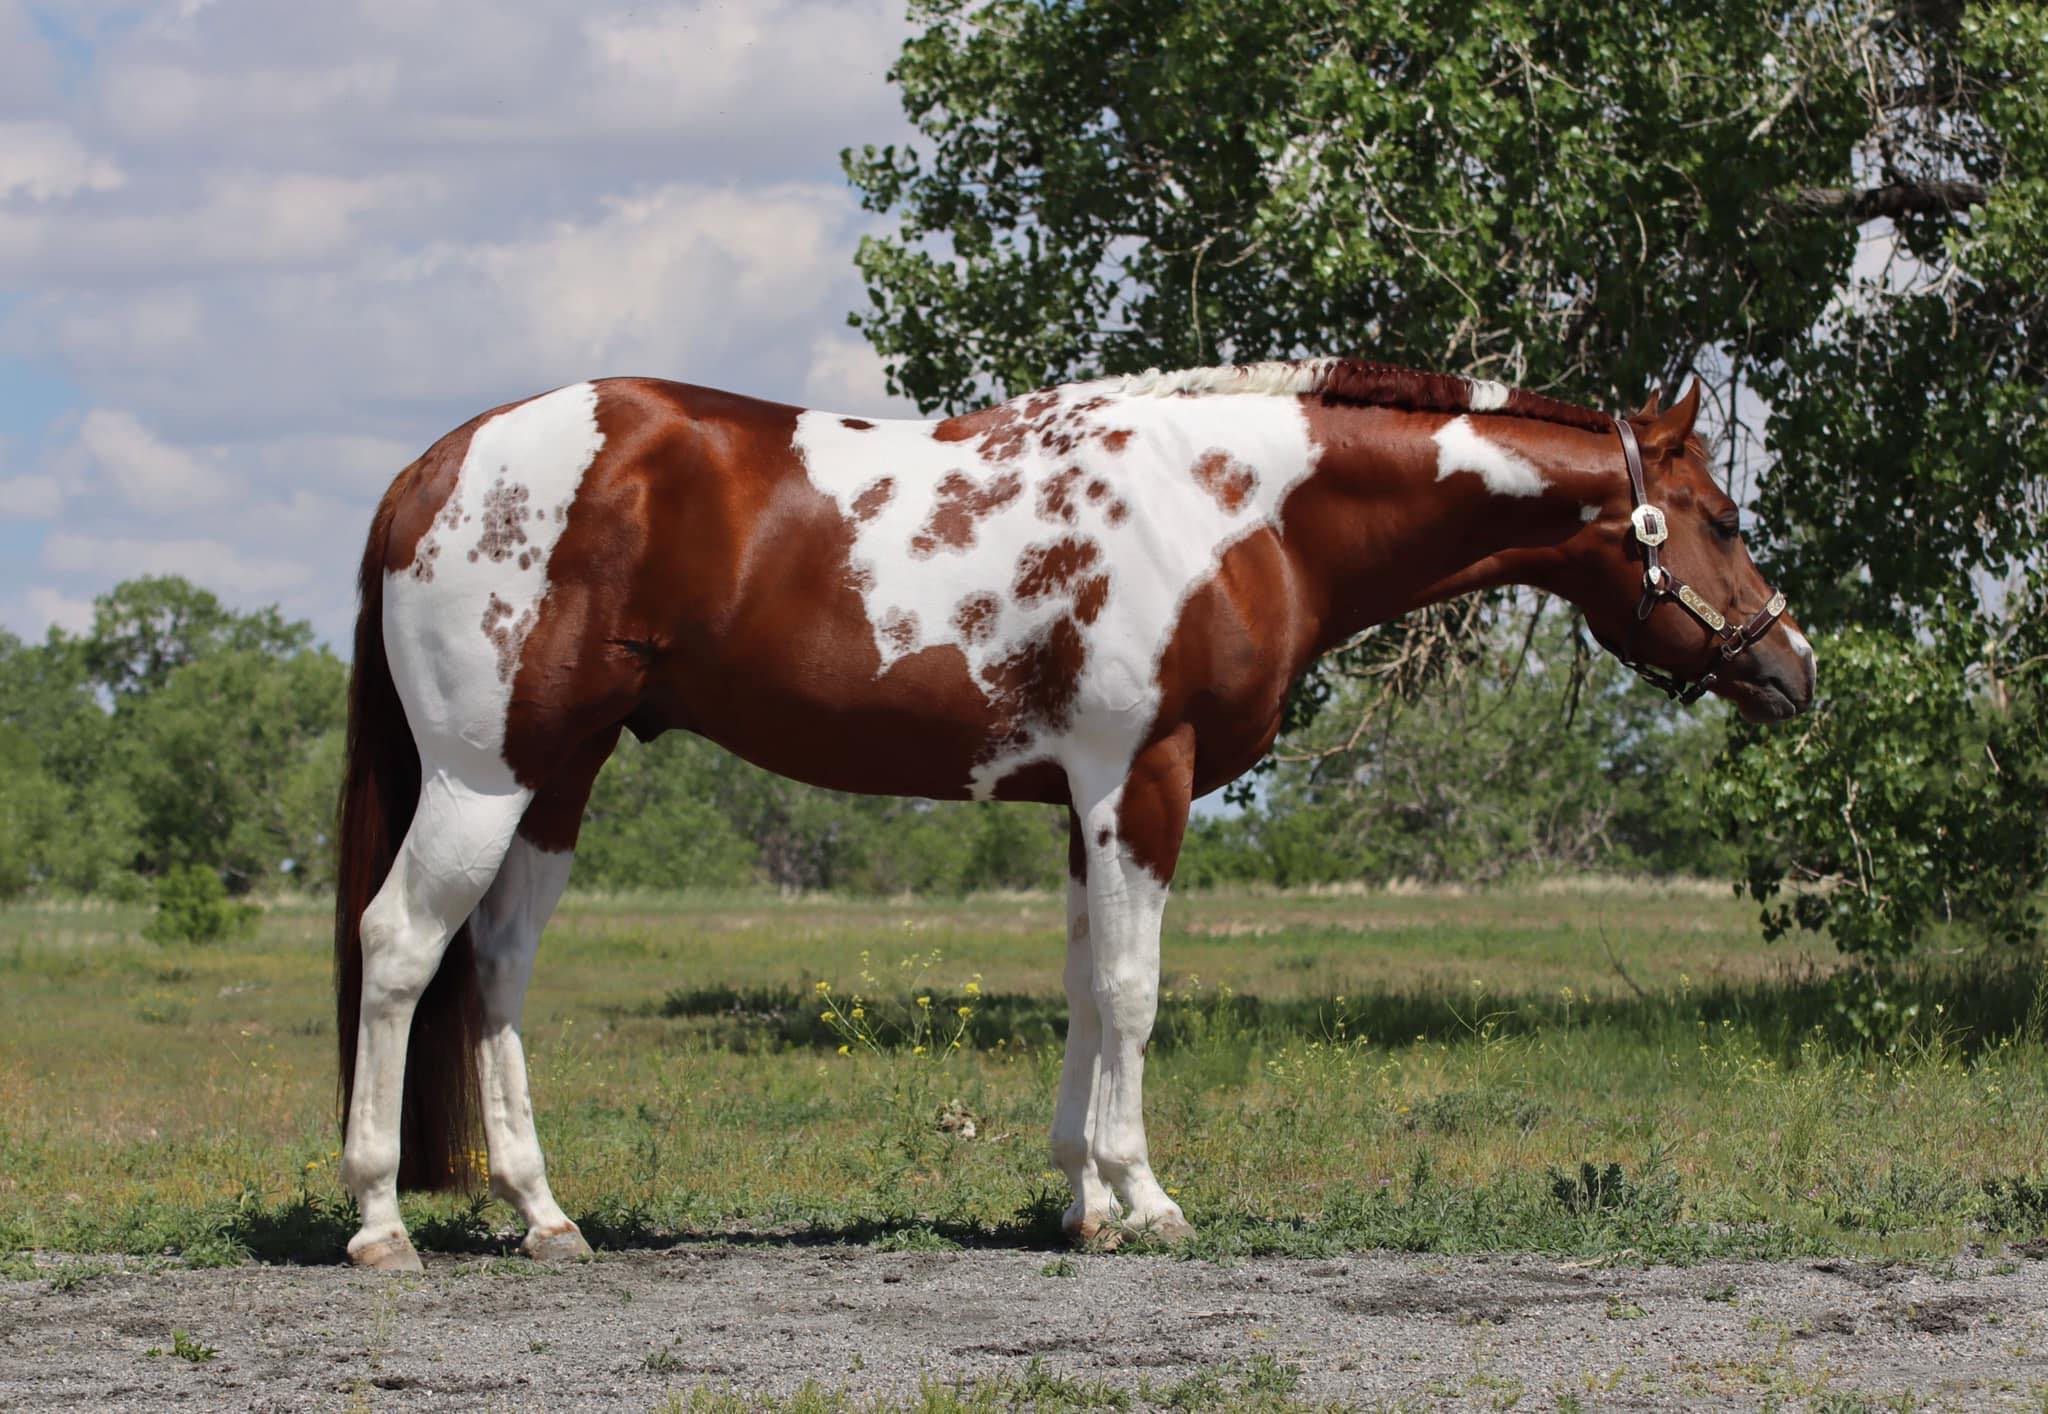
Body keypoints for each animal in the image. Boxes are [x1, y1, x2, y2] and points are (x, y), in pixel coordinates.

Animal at [334, 359, 1814, 1269]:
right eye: (1721, 514)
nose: (1794, 669)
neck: (1235, 509)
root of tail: (428, 469)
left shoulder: (1081, 801)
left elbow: (1086, 989)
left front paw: (1078, 1199)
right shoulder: (1139, 779)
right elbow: (1135, 990)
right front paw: (1143, 1196)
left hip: (558, 776)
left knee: (498, 966)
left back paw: (544, 1215)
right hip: (481, 776)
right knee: (403, 947)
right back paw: (379, 1219)